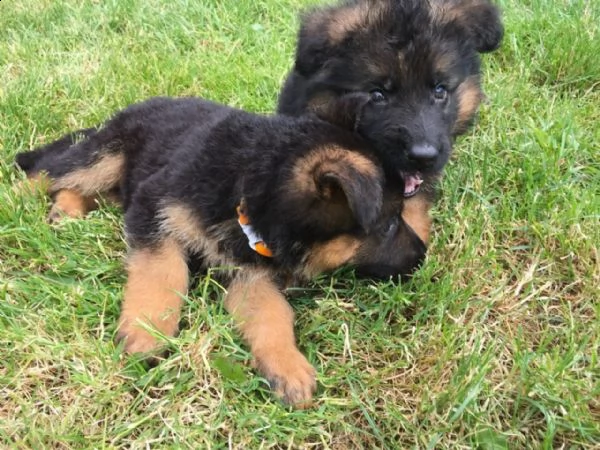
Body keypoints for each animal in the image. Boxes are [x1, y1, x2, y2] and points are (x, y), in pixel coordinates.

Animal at [15, 96, 426, 408]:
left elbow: (273, 313)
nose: (423, 255)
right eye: (390, 224)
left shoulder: (248, 268)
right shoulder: (153, 208)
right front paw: (148, 332)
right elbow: (163, 271)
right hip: (104, 155)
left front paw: (286, 365)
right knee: (47, 172)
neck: (249, 183)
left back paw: (67, 209)